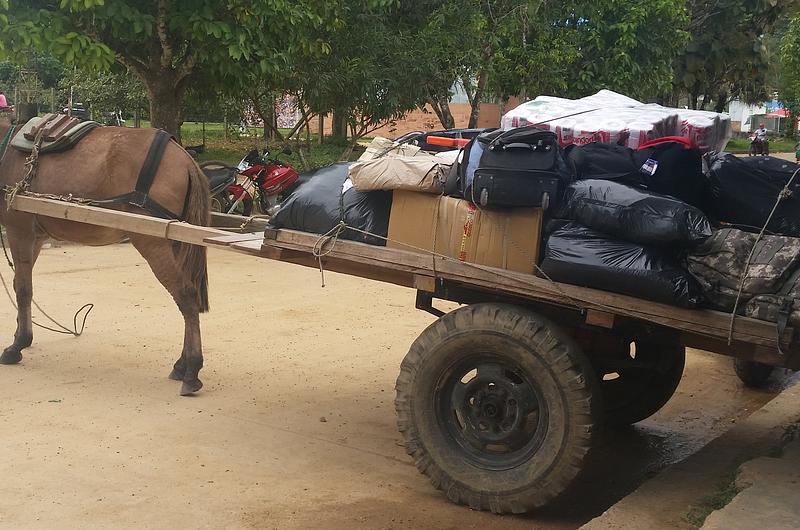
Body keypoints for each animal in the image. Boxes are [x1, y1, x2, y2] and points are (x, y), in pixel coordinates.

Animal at [0, 118, 209, 392]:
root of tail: (184, 158)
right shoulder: (35, 236)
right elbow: (21, 285)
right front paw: (20, 338)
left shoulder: (19, 230)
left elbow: (24, 290)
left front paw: (17, 346)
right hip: (176, 240)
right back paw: (182, 365)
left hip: (153, 241)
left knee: (186, 294)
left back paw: (192, 369)